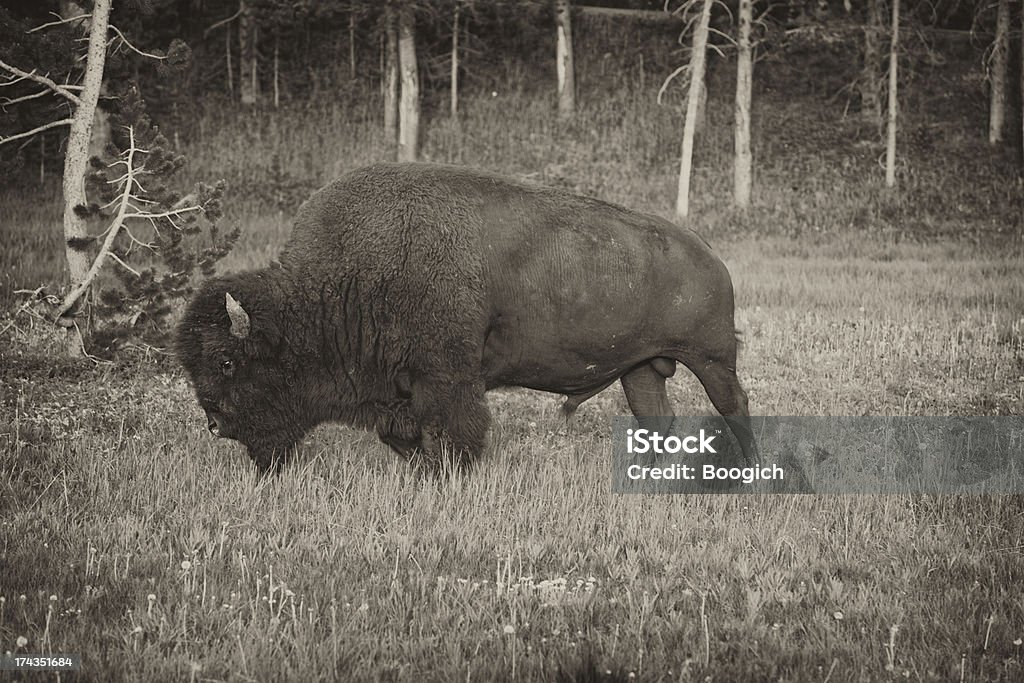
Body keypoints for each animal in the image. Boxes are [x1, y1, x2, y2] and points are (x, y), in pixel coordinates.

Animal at [176, 163, 757, 475]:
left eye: (227, 363)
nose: (215, 423)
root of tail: (710, 255)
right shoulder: (401, 388)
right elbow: (403, 436)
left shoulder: (447, 378)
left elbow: (457, 432)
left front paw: (451, 475)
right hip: (641, 369)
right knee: (659, 419)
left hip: (711, 359)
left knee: (734, 406)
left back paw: (749, 472)